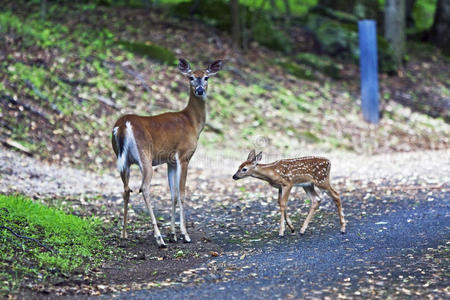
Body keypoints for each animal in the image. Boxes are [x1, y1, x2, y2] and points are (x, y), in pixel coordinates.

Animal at [112, 58, 223, 248]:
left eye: (206, 77)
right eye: (191, 77)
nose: (200, 90)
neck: (192, 122)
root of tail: (123, 125)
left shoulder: (170, 161)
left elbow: (173, 195)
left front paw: (173, 234)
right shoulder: (184, 155)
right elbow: (182, 194)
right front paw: (184, 234)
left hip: (123, 161)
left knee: (126, 189)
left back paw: (124, 235)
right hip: (144, 156)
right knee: (144, 188)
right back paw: (159, 238)